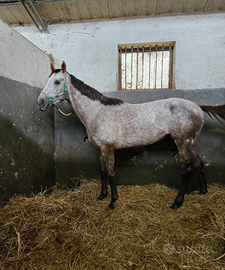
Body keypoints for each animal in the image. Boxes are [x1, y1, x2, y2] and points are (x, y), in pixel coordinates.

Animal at [37, 61, 225, 211]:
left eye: (57, 81)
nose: (40, 102)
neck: (97, 112)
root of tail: (198, 107)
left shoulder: (108, 149)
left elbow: (111, 173)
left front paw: (112, 202)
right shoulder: (100, 150)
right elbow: (102, 172)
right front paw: (102, 196)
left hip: (183, 143)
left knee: (186, 171)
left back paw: (176, 203)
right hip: (190, 143)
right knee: (198, 164)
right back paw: (203, 192)